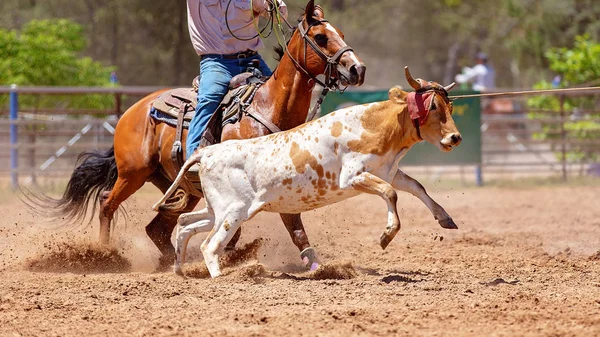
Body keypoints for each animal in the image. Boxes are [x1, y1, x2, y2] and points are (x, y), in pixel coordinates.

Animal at [37, 0, 368, 268]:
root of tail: (134, 110)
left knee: (157, 229)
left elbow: (294, 226)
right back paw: (105, 256)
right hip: (133, 173)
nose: (358, 69)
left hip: (180, 188)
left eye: (340, 32)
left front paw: (316, 265)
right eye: (320, 37)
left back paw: (173, 261)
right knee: (107, 203)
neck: (270, 108)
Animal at [155, 67, 464, 276]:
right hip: (233, 212)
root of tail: (207, 152)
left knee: (185, 224)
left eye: (449, 105)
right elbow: (390, 194)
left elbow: (415, 187)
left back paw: (180, 270)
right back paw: (220, 278)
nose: (455, 138)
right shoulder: (353, 177)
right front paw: (387, 234)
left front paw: (445, 218)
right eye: (432, 106)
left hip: (219, 210)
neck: (374, 125)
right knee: (209, 245)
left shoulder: (388, 171)